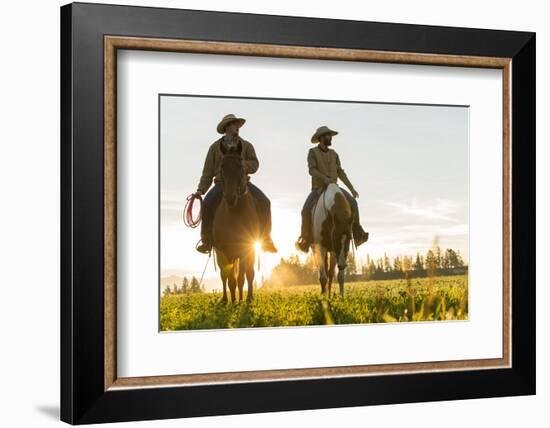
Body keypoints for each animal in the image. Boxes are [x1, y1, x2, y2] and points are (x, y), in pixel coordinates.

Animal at [213, 142, 260, 302]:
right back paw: (226, 299)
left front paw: (247, 299)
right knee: (224, 275)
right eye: (221, 168)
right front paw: (234, 301)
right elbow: (231, 278)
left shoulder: (248, 247)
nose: (230, 197)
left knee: (244, 275)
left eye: (240, 166)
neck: (236, 214)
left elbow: (246, 275)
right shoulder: (226, 250)